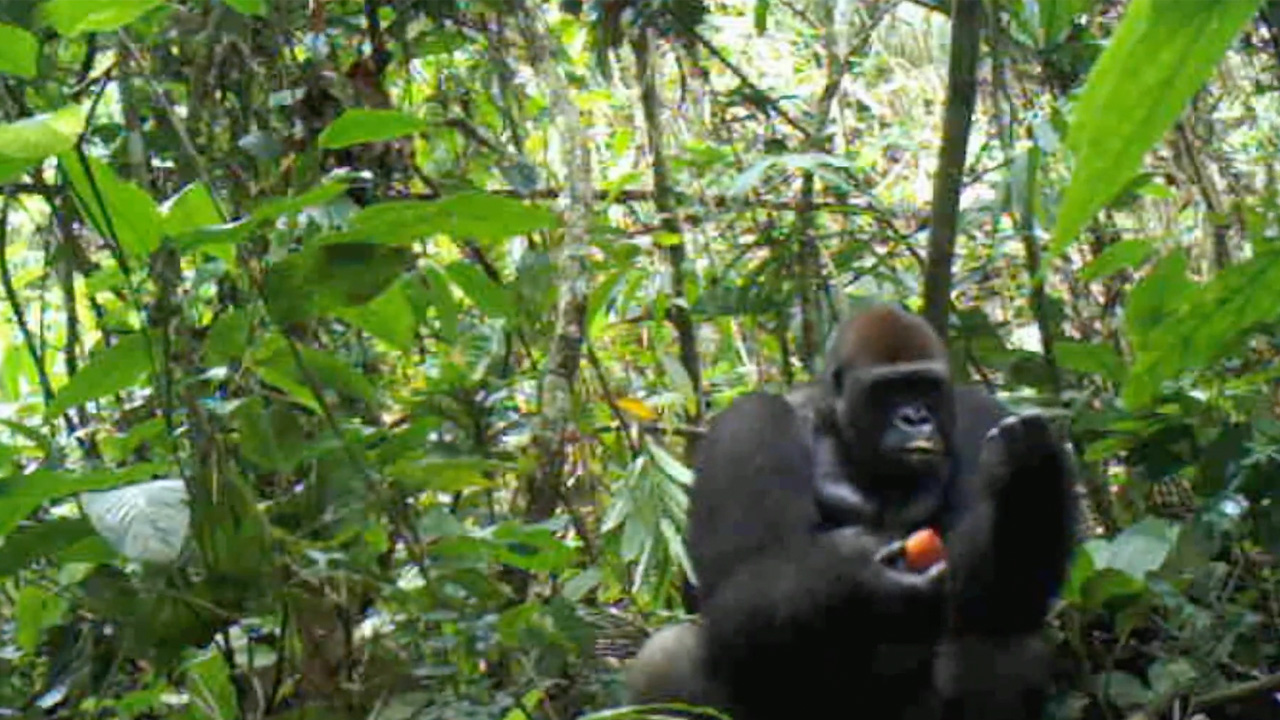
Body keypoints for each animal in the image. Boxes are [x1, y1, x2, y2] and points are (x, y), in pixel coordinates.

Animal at [624, 304, 1076, 720]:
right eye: (889, 390)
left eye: (925, 386)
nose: (915, 418)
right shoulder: (746, 425)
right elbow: (729, 593)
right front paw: (858, 572)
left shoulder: (980, 414)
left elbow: (1007, 593)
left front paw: (1027, 480)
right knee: (669, 654)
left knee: (1003, 636)